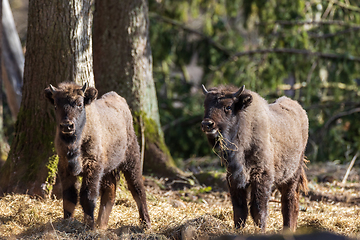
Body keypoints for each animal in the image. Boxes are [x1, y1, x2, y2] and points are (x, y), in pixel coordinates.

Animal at [44, 82, 150, 229]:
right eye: (56, 105)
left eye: (79, 104)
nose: (67, 126)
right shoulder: (65, 167)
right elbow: (69, 196)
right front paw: (68, 222)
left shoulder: (93, 167)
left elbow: (88, 196)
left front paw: (89, 225)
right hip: (109, 170)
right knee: (110, 192)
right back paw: (102, 224)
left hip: (131, 160)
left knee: (138, 189)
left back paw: (146, 223)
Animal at [201, 85, 308, 232]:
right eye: (205, 105)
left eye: (228, 107)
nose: (207, 124)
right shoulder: (234, 178)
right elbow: (240, 209)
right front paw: (238, 230)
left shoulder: (261, 176)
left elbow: (258, 209)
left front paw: (260, 230)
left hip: (292, 176)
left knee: (289, 202)